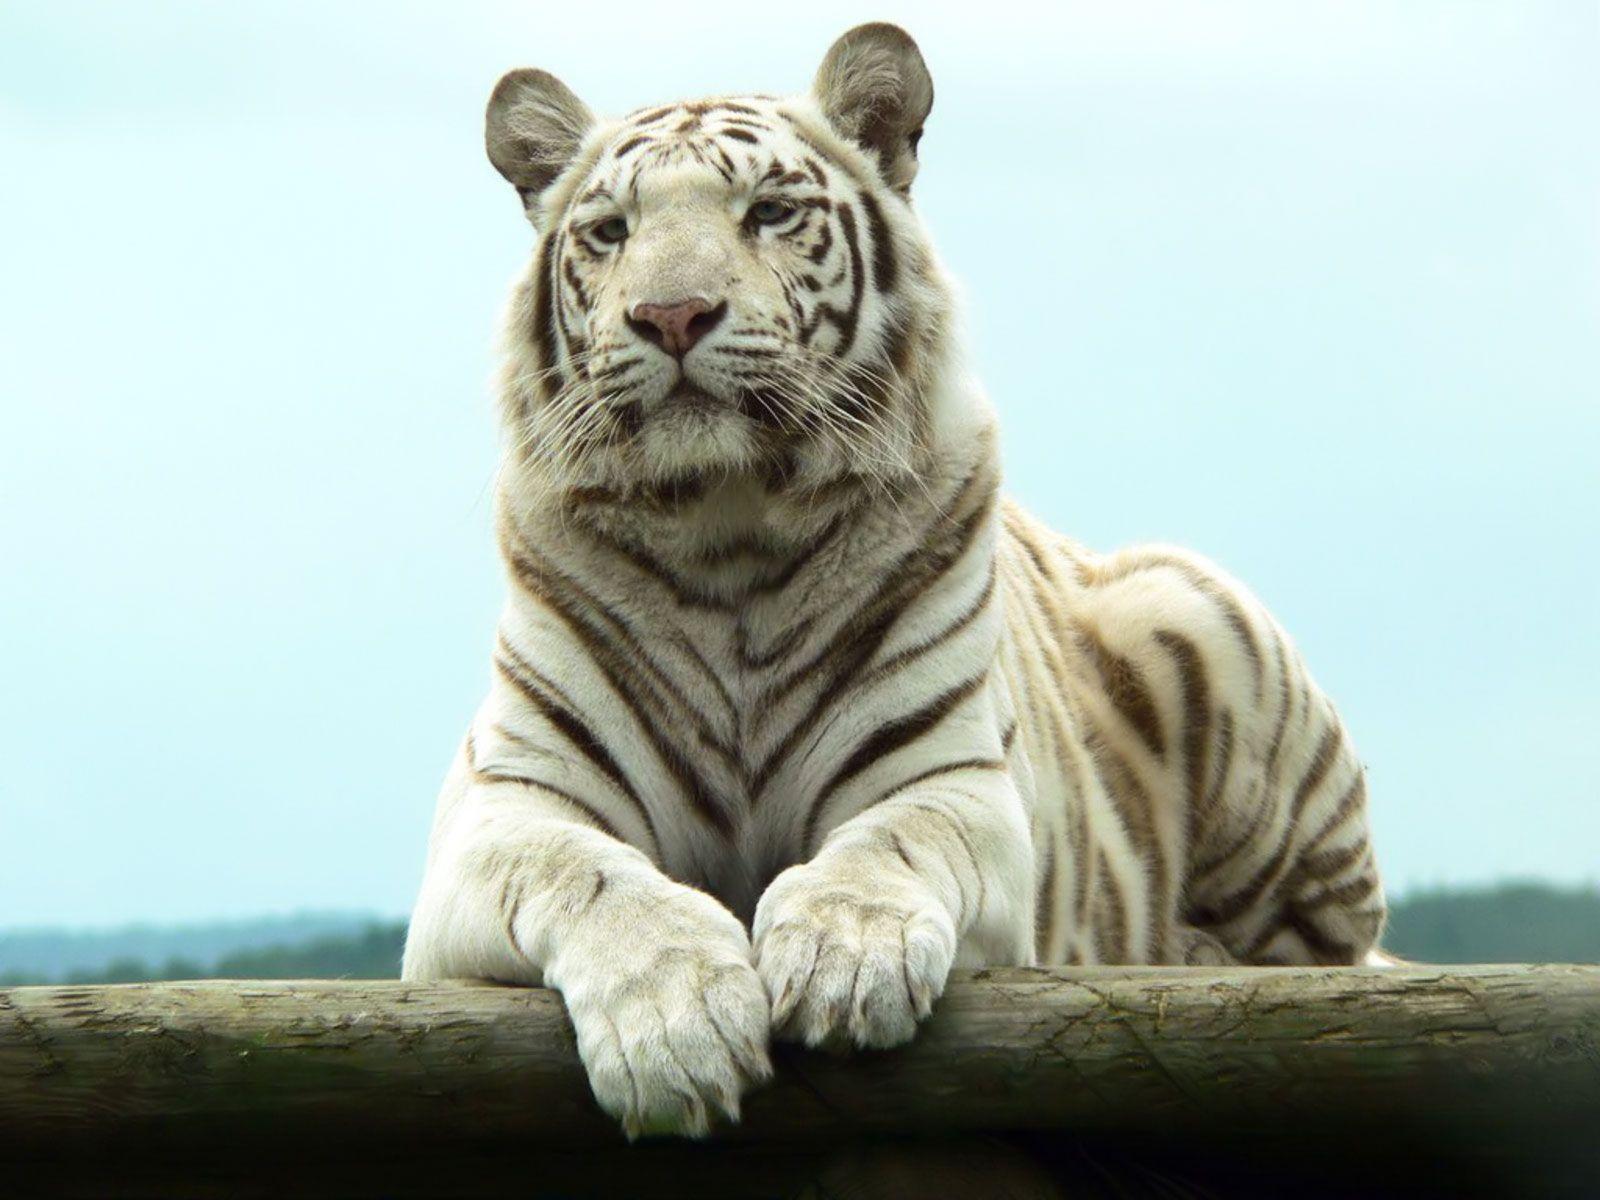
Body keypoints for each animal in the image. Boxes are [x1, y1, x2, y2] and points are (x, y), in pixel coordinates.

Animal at [400, 23, 1388, 1139]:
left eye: (768, 211)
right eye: (610, 231)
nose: (672, 314)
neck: (724, 531)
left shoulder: (946, 778)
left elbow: (889, 847)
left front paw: (841, 961)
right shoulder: (507, 808)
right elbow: (595, 878)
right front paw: (676, 1024)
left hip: (1194, 617)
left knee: (1327, 953)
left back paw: (1187, 953)